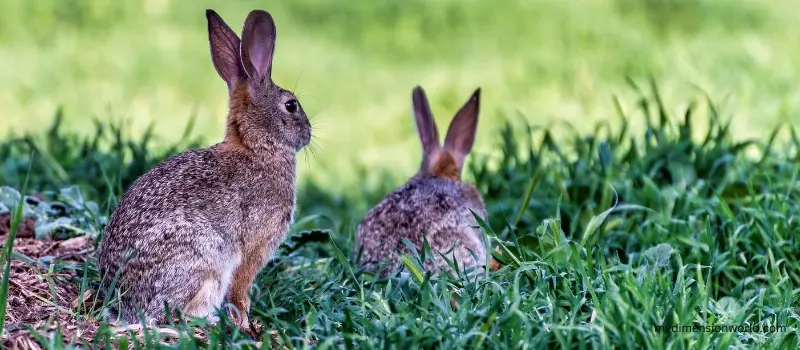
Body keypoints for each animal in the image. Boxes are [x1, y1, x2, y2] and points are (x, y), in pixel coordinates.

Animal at [97, 8, 312, 330]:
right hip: (205, 259)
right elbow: (240, 288)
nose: (308, 134)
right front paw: (244, 321)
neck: (257, 146)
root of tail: (126, 307)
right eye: (291, 105)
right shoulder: (252, 248)